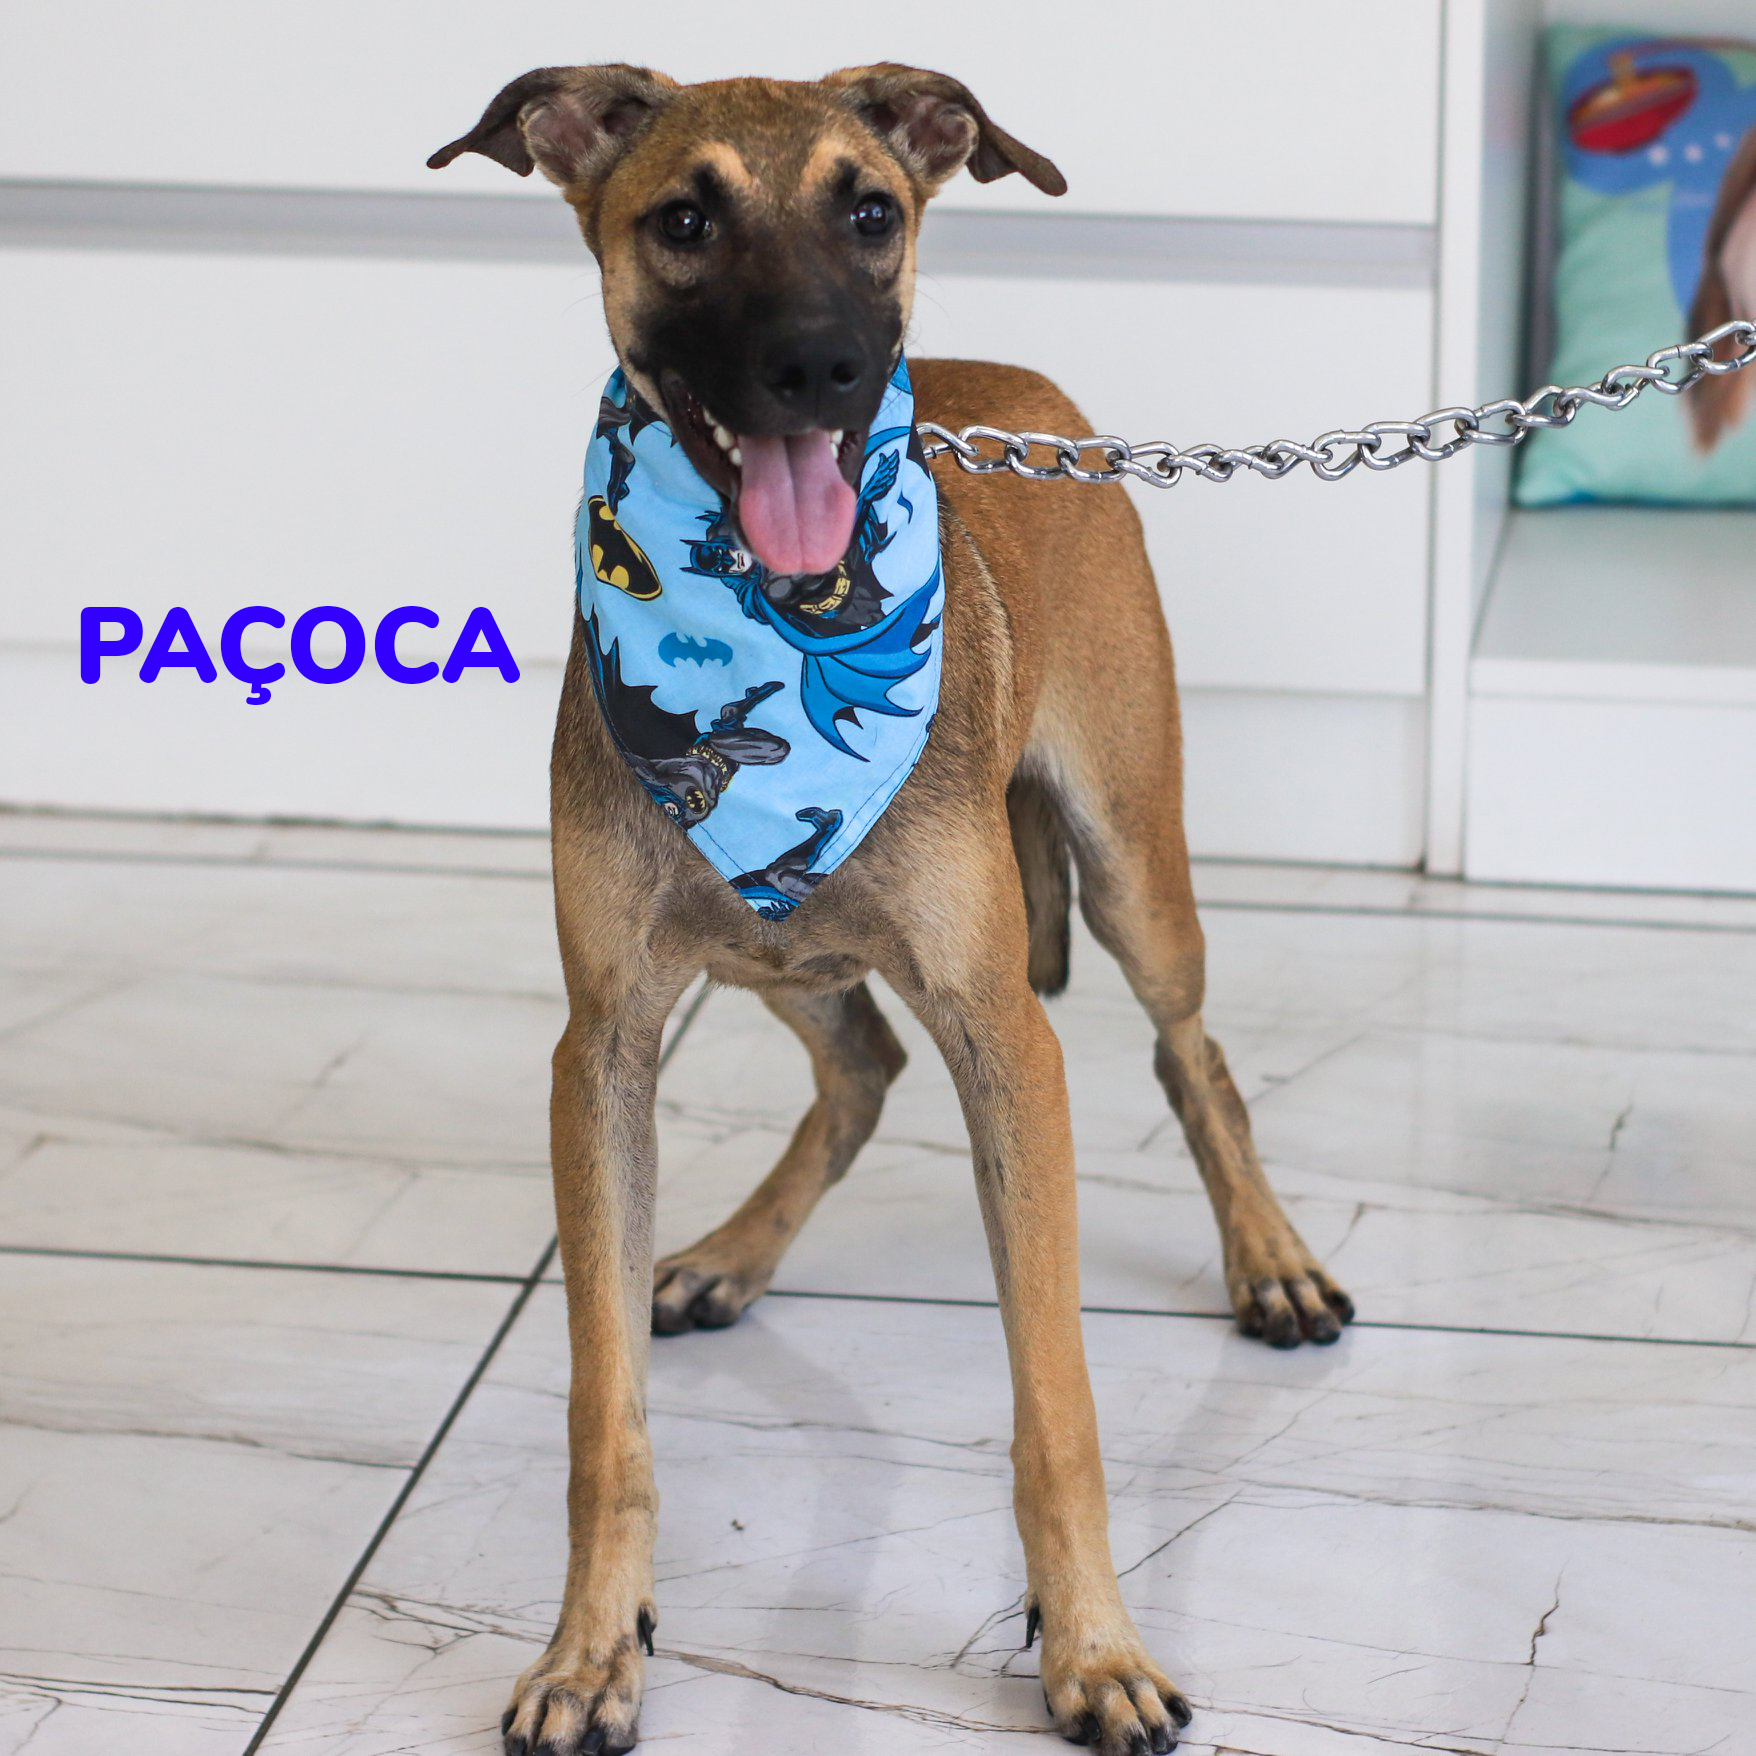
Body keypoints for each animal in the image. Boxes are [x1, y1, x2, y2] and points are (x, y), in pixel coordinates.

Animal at [429, 62, 1353, 1756]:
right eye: (681, 222)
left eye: (871, 209)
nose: (824, 370)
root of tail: (1024, 396)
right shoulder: (603, 1048)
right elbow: (605, 1413)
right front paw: (591, 1648)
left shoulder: (1008, 1041)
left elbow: (1056, 1399)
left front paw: (1094, 1648)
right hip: (772, 940)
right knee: (861, 1066)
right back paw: (730, 1254)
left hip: (1132, 869)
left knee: (1192, 1053)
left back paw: (1270, 1262)